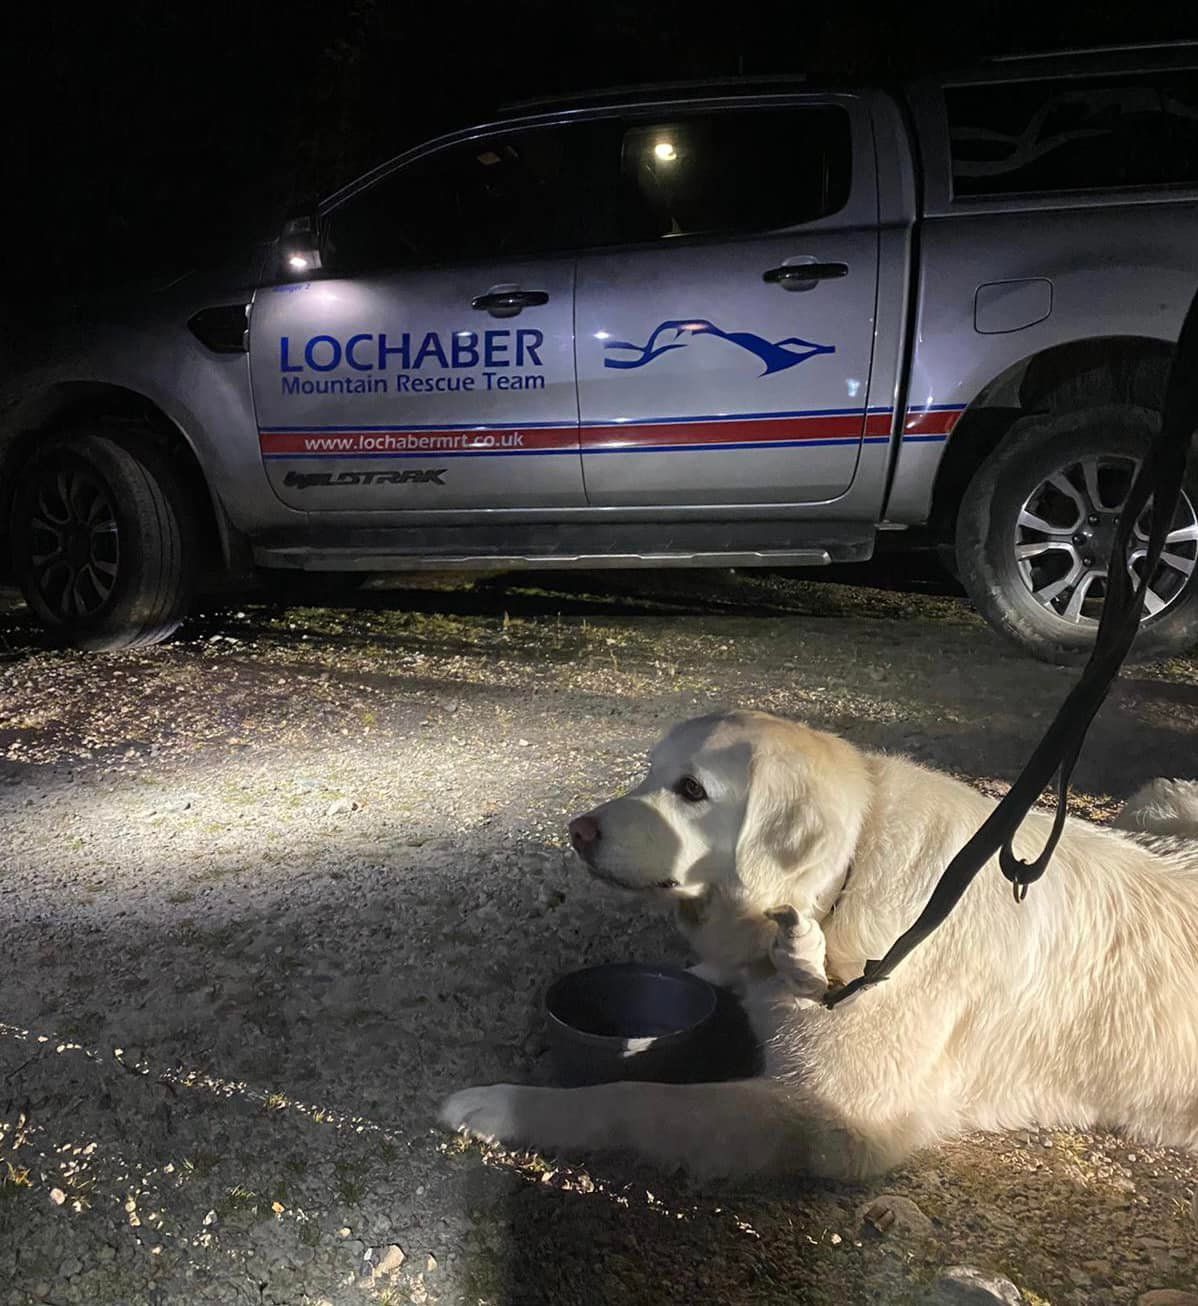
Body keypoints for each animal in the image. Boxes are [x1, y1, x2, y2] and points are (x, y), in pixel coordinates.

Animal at [438, 715, 1196, 1185]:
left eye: (691, 791)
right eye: (650, 775)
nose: (578, 831)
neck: (838, 886)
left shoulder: (835, 1115)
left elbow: (635, 1097)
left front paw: (504, 1106)